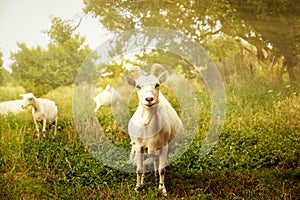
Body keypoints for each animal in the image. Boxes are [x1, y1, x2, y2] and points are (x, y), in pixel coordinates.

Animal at [125, 63, 183, 195]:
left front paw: (163, 190)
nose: (149, 99)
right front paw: (138, 188)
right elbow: (139, 169)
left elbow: (162, 169)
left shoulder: (164, 146)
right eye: (138, 86)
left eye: (157, 84)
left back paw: (156, 175)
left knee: (157, 161)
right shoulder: (139, 146)